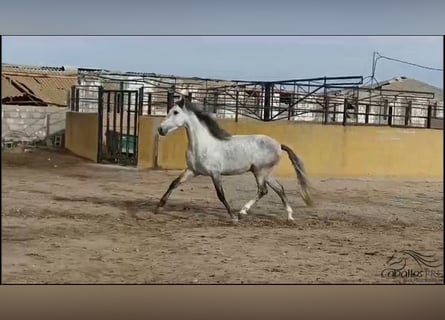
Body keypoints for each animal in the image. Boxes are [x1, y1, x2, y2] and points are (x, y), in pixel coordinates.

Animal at [156, 97, 312, 222]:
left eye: (175, 112)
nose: (160, 129)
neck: (203, 145)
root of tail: (279, 145)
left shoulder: (215, 173)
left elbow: (221, 195)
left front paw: (233, 217)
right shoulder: (192, 171)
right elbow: (174, 183)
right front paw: (159, 205)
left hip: (260, 171)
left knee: (263, 190)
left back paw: (242, 212)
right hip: (266, 173)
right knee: (279, 188)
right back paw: (290, 216)